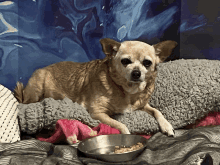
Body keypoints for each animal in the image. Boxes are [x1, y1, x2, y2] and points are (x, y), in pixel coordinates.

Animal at [14, 38, 177, 135]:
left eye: (147, 63)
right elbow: (120, 124)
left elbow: (157, 111)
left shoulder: (143, 105)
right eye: (125, 61)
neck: (127, 90)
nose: (136, 73)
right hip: (36, 90)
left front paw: (167, 125)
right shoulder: (97, 113)